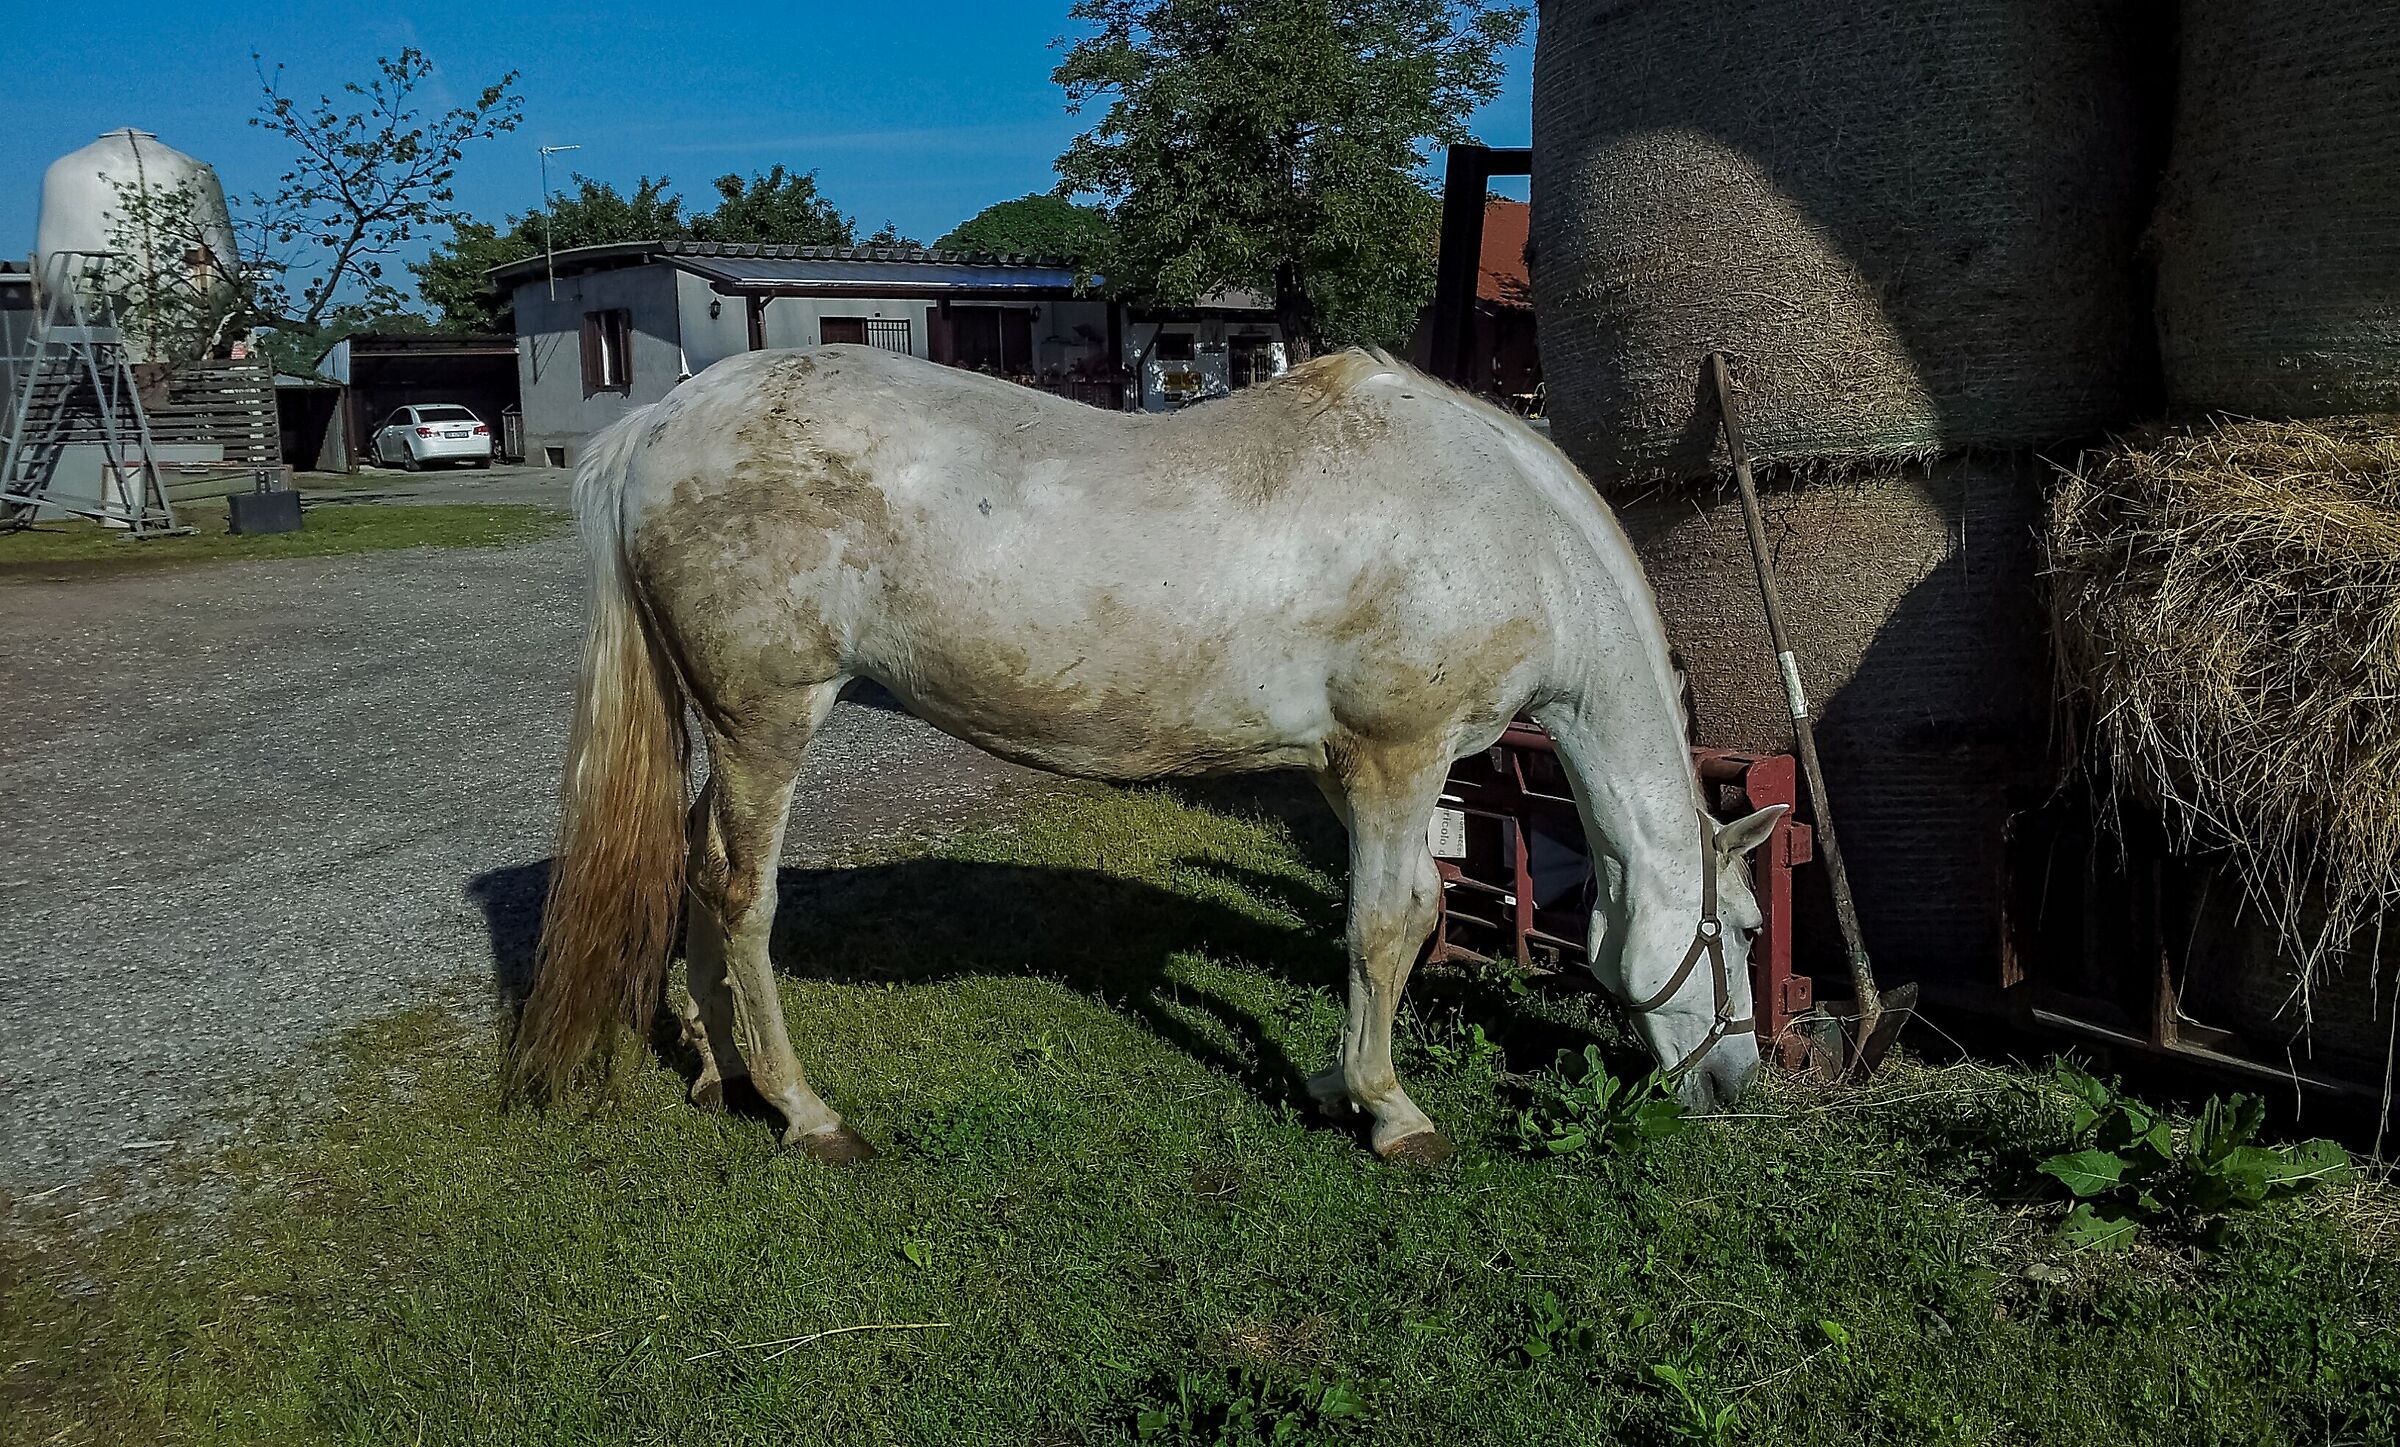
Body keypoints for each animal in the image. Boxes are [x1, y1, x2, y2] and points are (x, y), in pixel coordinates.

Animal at [506, 344, 1783, 1163]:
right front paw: (1392, 1112)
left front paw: (1333, 1080)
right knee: (741, 893)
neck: (1499, 523)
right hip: (770, 720)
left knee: (696, 870)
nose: (1736, 1086)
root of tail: (659, 424)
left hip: (726, 729)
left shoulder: (1342, 770)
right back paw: (804, 1109)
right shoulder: (1399, 756)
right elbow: (1394, 923)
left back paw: (721, 1072)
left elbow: (1366, 926)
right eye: (1745, 931)